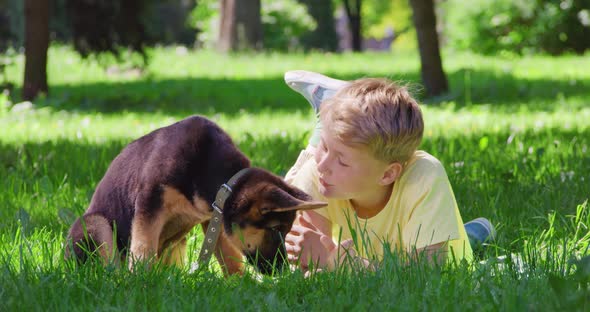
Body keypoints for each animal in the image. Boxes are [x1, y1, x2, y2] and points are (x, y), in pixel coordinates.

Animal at [66, 114, 326, 272]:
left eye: (287, 230)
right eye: (274, 229)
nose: (281, 271)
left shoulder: (215, 219)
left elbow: (230, 258)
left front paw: (242, 285)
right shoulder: (149, 205)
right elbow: (143, 249)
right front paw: (140, 281)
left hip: (177, 244)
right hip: (95, 224)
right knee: (109, 265)